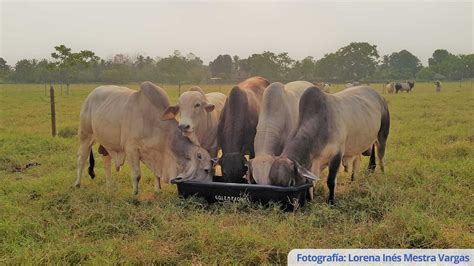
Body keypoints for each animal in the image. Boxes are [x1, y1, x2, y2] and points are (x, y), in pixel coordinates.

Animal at [74, 81, 213, 195]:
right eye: (206, 170)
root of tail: (91, 94)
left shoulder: (155, 154)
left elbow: (157, 174)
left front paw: (157, 190)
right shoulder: (131, 149)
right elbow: (137, 175)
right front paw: (135, 194)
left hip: (107, 143)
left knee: (106, 160)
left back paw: (109, 186)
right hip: (85, 136)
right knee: (81, 159)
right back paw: (77, 184)